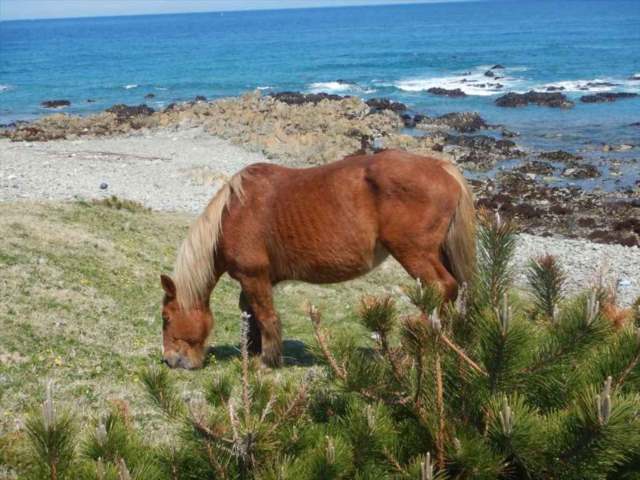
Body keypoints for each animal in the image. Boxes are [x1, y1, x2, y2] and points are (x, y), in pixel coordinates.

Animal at [159, 149, 476, 369]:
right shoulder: (258, 280)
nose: (170, 360)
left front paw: (267, 361)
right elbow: (251, 313)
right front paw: (255, 351)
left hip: (415, 255)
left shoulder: (254, 277)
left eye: (166, 317)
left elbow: (265, 315)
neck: (233, 212)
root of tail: (442, 167)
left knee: (442, 288)